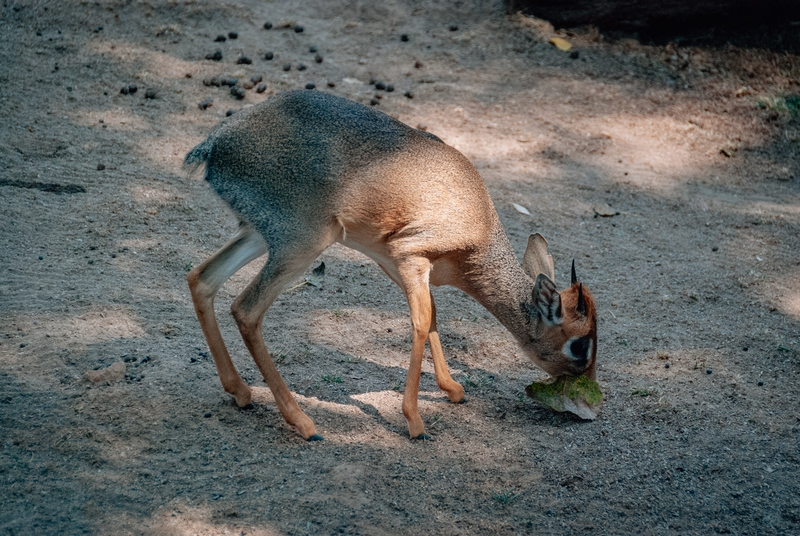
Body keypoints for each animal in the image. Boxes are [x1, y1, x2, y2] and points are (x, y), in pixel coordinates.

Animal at [183, 90, 592, 440]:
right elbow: (421, 321)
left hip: (259, 234)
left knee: (201, 278)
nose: (582, 381)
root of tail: (216, 143)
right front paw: (414, 421)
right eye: (580, 346)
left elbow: (434, 315)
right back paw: (304, 422)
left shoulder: (392, 262)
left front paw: (451, 388)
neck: (477, 224)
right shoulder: (411, 256)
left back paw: (240, 392)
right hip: (303, 243)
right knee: (245, 308)